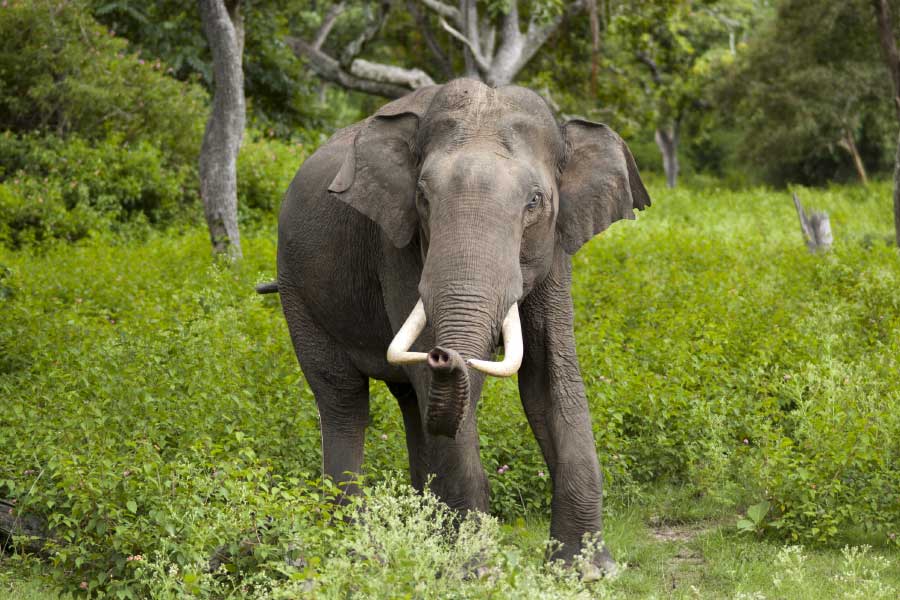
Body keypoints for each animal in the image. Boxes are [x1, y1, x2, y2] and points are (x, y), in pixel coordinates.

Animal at [265, 78, 650, 574]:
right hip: (296, 289)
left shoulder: (556, 246)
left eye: (535, 201)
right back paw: (355, 547)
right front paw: (476, 572)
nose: (443, 354)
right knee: (344, 400)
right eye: (423, 197)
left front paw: (587, 571)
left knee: (411, 403)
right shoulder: (397, 244)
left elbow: (549, 377)